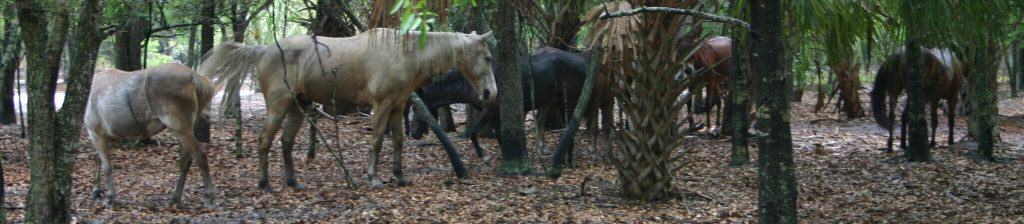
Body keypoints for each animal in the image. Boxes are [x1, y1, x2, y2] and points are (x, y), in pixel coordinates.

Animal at [84, 63, 218, 208]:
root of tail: (193, 75)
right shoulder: (107, 137)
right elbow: (97, 158)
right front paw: (96, 191)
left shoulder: (96, 134)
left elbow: (106, 166)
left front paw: (109, 197)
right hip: (185, 130)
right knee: (186, 160)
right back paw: (175, 198)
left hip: (181, 129)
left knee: (200, 156)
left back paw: (209, 197)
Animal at [199, 27, 495, 190]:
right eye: (488, 57)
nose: (490, 94)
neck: (403, 53)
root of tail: (264, 49)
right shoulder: (382, 105)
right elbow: (377, 141)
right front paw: (374, 178)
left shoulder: (398, 106)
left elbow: (398, 141)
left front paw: (399, 176)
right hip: (278, 106)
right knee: (264, 142)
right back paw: (265, 184)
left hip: (298, 106)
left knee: (286, 142)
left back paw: (293, 182)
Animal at [405, 47, 585, 159]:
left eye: (415, 107)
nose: (413, 133)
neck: (470, 84)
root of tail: (582, 63)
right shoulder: (495, 112)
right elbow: (498, 134)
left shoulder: (490, 109)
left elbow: (473, 131)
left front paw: (482, 153)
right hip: (555, 101)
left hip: (569, 100)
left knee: (571, 125)